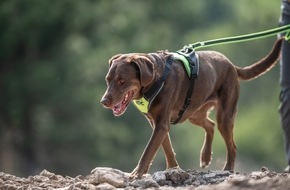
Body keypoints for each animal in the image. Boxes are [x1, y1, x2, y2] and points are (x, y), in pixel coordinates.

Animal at [101, 38, 282, 178]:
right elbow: (167, 148)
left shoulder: (161, 124)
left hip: (225, 115)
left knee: (232, 146)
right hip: (194, 113)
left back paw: (228, 169)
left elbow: (148, 151)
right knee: (210, 125)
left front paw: (136, 174)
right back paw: (205, 156)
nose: (104, 101)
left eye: (122, 81)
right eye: (108, 80)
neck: (155, 79)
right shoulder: (157, 123)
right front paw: (173, 168)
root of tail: (231, 65)